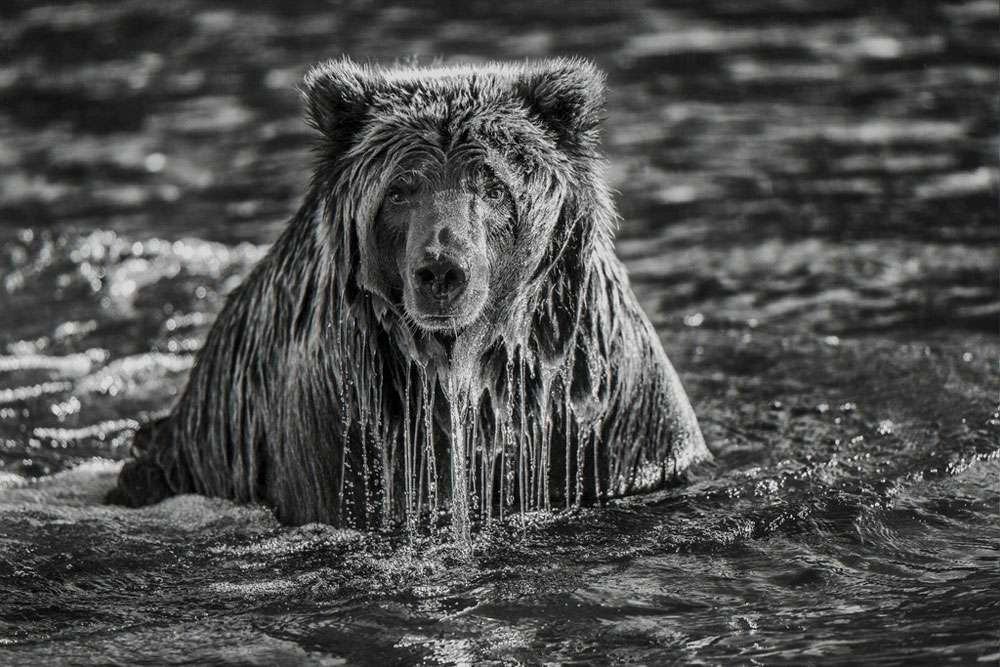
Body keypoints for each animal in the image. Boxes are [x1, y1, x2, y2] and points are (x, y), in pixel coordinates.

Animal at [107, 57, 712, 536]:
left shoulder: (606, 421)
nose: (441, 270)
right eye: (399, 190)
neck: (465, 373)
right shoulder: (345, 436)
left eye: (492, 185)